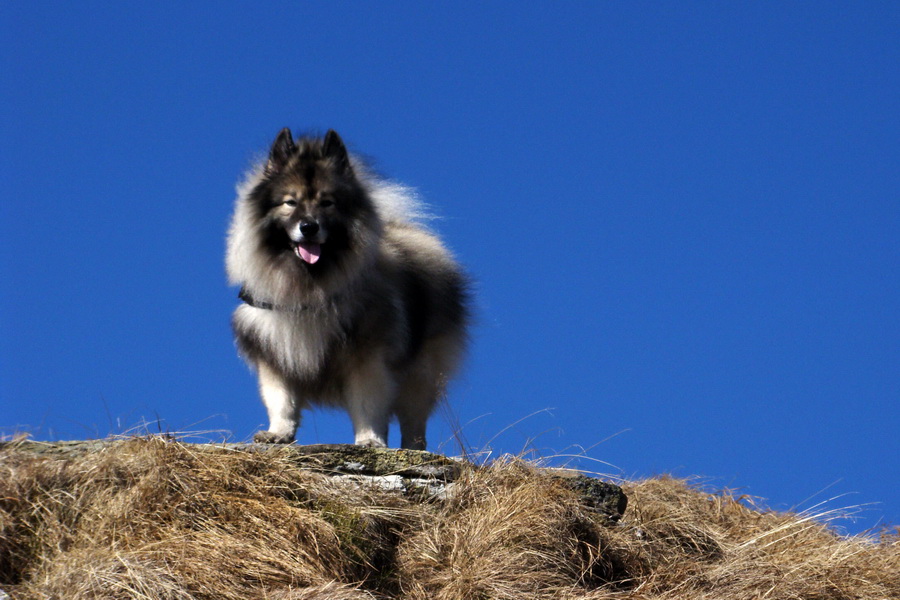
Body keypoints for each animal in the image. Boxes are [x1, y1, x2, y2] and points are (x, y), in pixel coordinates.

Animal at [227, 130, 472, 450]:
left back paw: (412, 447)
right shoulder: (275, 354)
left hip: (421, 372)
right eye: (290, 202)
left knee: (413, 419)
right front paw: (278, 433)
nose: (309, 227)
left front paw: (369, 439)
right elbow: (282, 401)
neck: (309, 285)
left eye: (327, 203)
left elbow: (367, 404)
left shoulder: (366, 357)